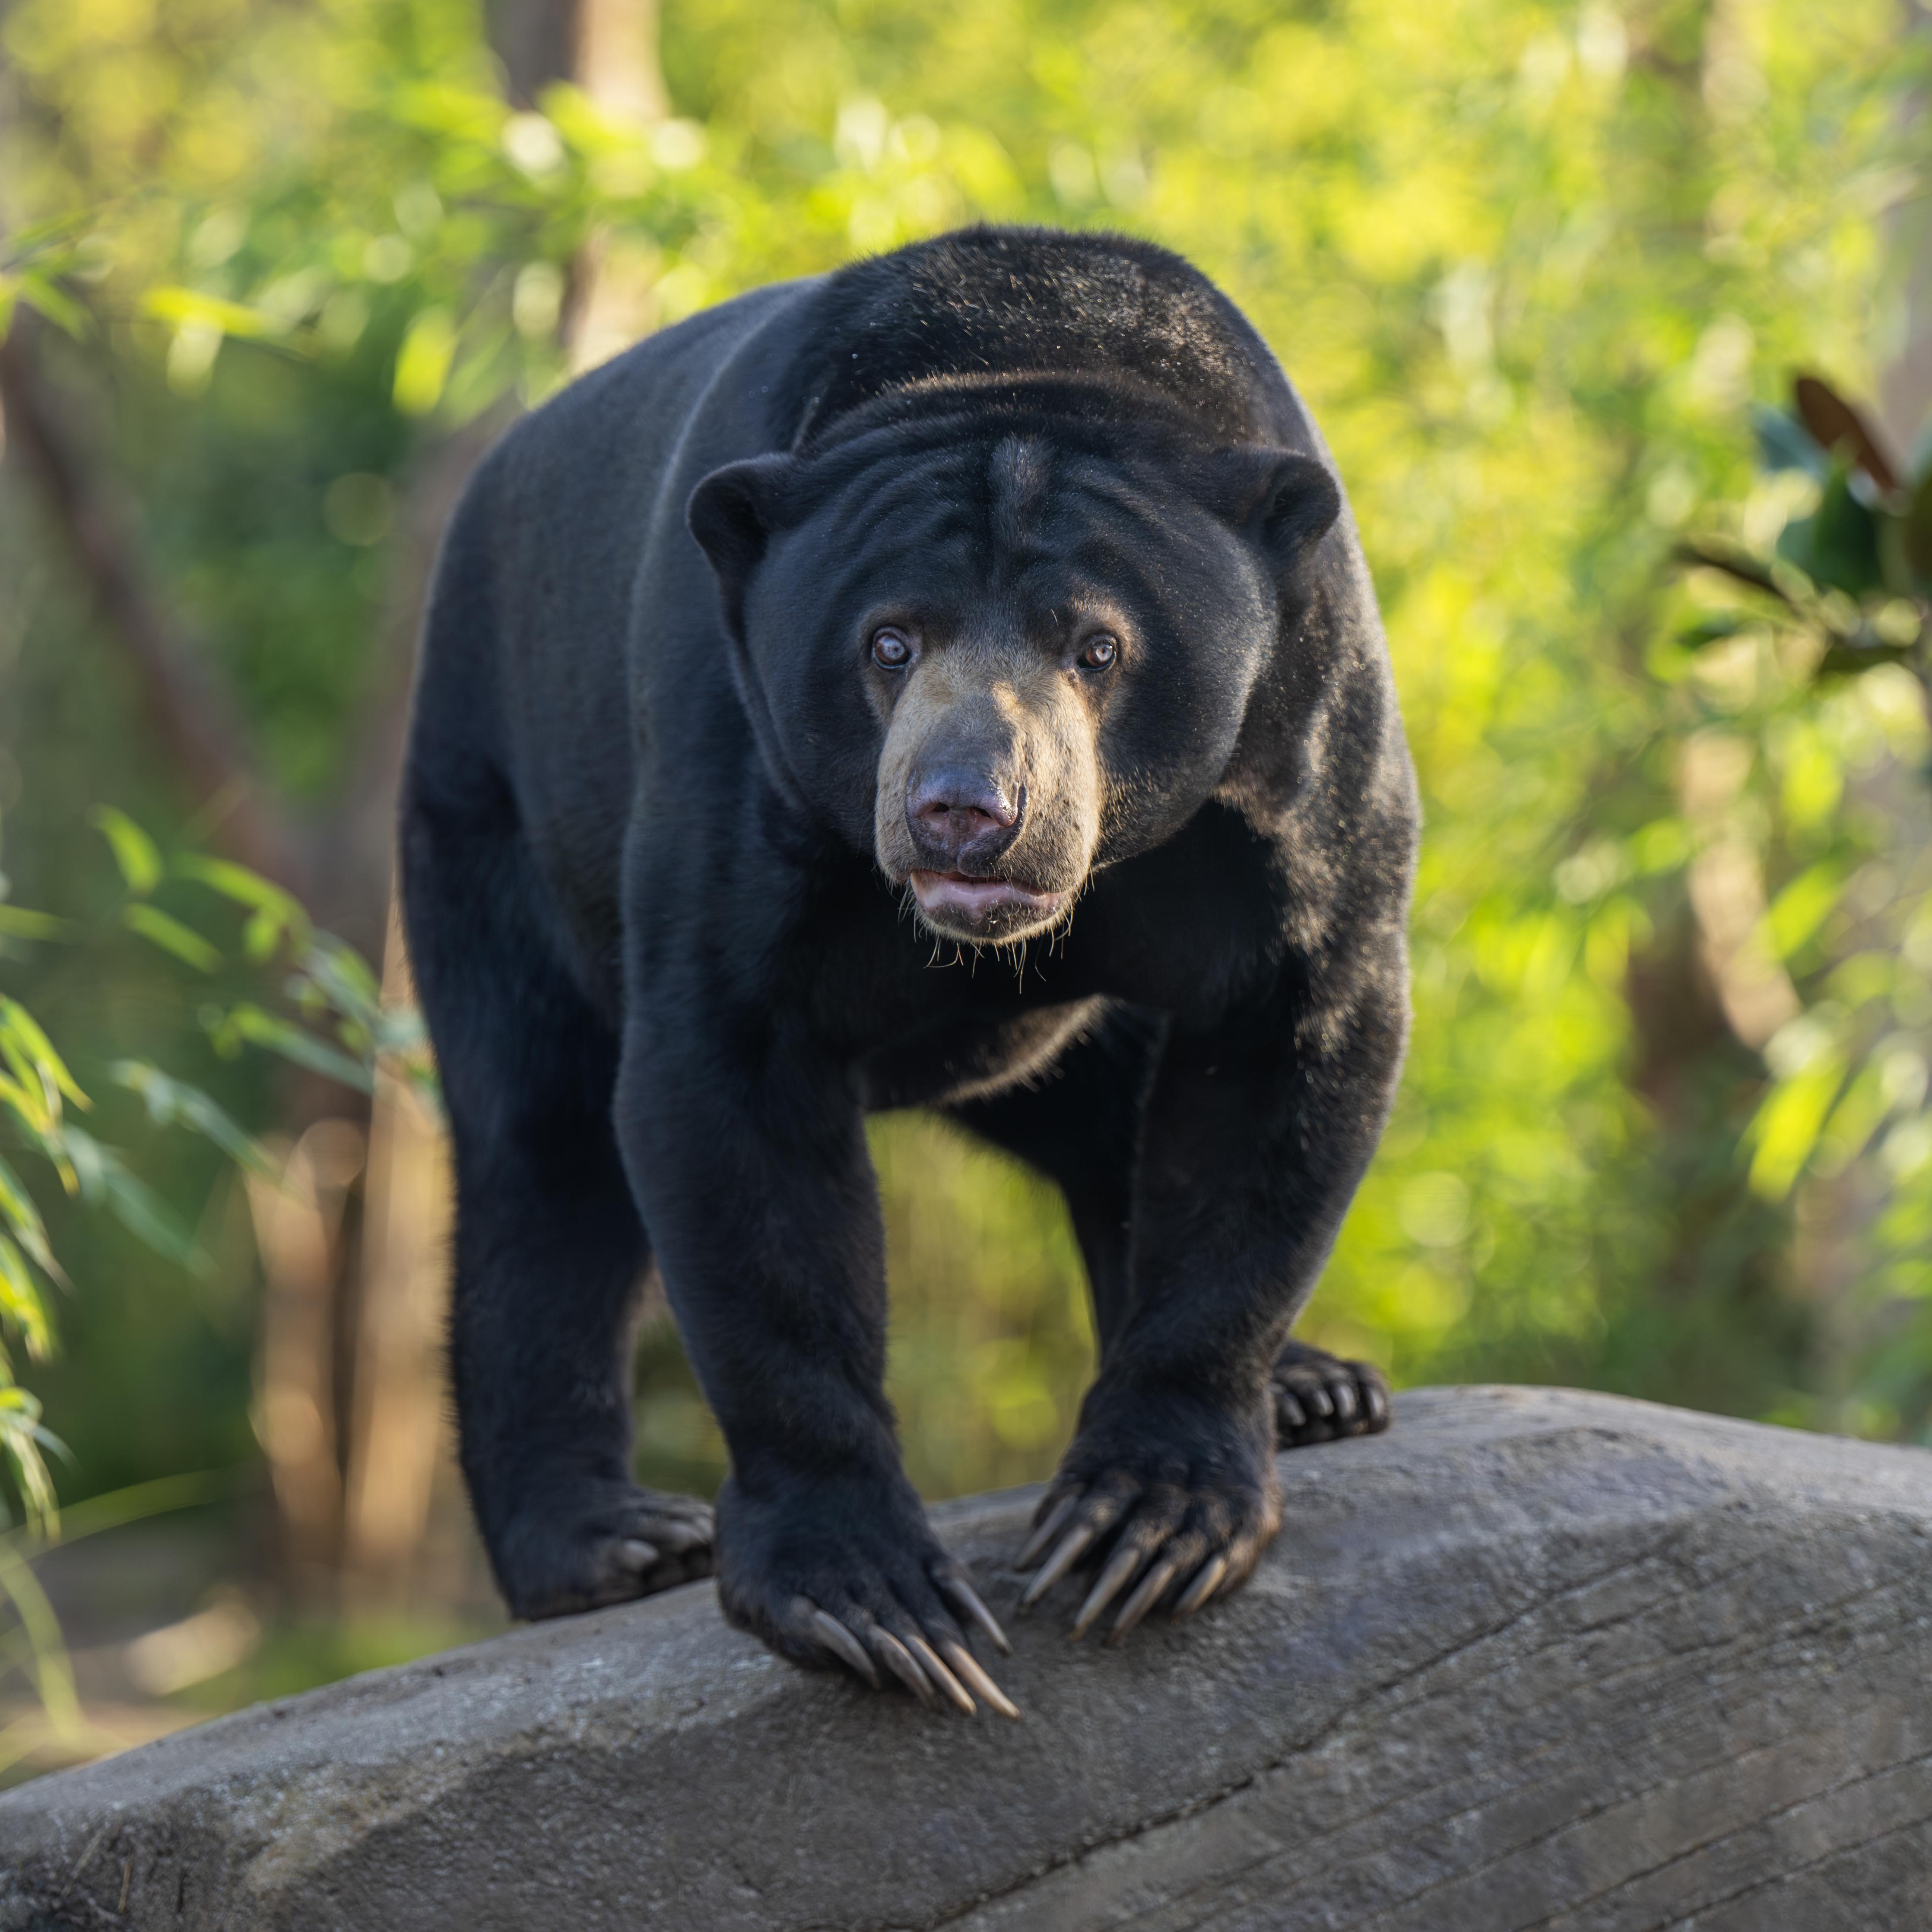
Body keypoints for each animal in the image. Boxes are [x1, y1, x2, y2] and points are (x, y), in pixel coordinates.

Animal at [400, 225, 1417, 1717]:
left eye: (1097, 646)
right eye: (889, 640)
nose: (965, 812)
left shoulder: (1298, 748)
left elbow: (1286, 1045)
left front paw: (1146, 1524)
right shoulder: (731, 763)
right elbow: (732, 1103)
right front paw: (874, 1601)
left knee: (1104, 1114)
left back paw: (1319, 1388)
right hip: (490, 802)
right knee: (542, 1144)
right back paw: (608, 1541)